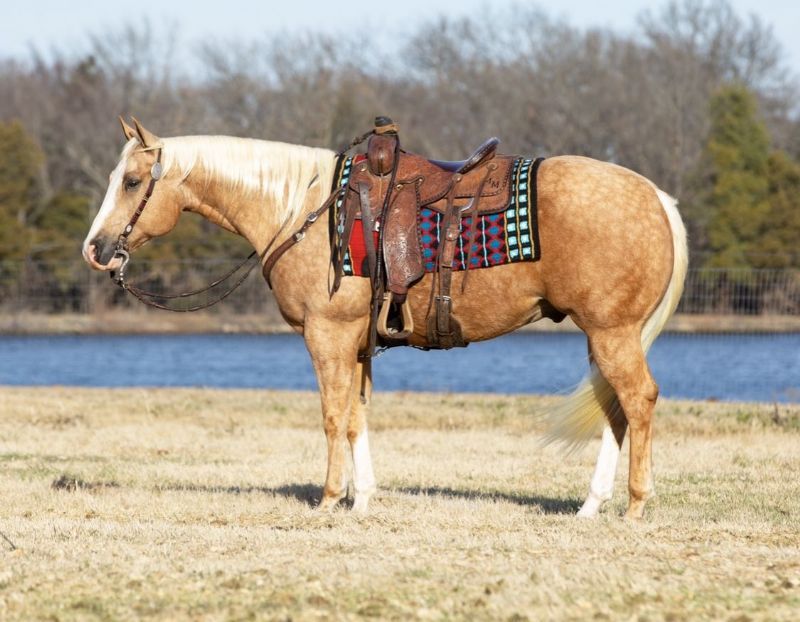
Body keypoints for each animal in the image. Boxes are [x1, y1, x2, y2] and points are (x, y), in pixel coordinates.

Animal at [82, 118, 687, 519]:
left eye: (131, 181)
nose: (96, 249)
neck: (300, 210)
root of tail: (656, 196)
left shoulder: (326, 335)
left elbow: (332, 417)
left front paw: (329, 500)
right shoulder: (354, 343)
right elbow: (356, 417)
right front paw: (363, 498)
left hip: (612, 333)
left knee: (638, 401)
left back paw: (635, 505)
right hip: (605, 335)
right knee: (614, 410)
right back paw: (591, 505)